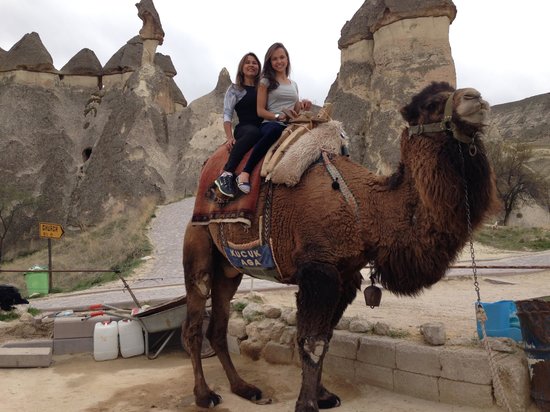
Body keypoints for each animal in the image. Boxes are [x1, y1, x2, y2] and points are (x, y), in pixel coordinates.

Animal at [183, 82, 502, 410]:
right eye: (430, 104)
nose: (474, 97)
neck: (367, 206)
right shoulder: (319, 269)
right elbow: (311, 341)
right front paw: (306, 404)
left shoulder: (345, 275)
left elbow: (326, 337)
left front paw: (323, 396)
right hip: (198, 243)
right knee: (194, 322)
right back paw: (204, 395)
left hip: (229, 270)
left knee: (217, 327)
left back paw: (245, 388)